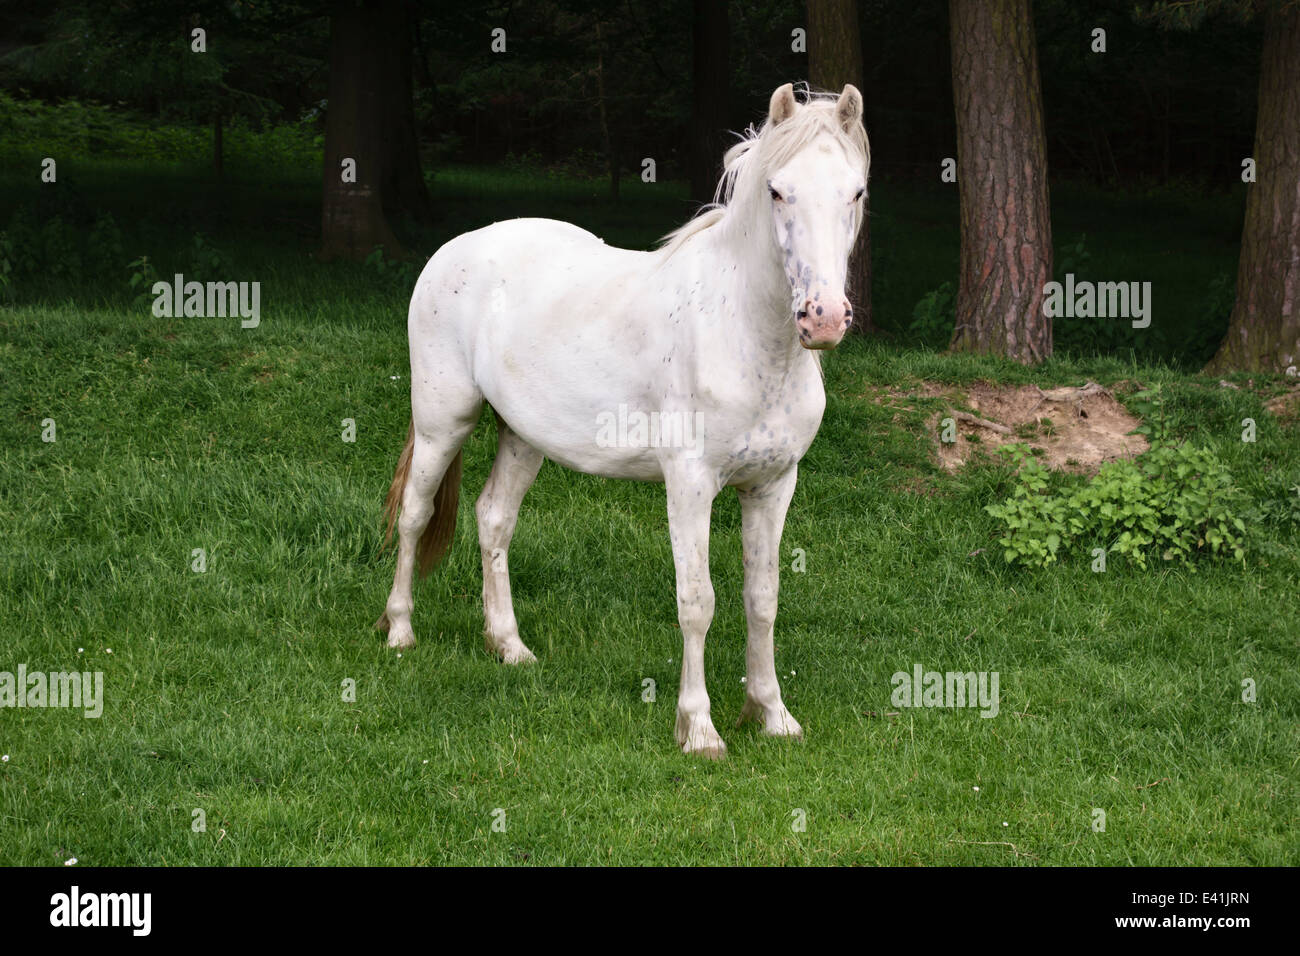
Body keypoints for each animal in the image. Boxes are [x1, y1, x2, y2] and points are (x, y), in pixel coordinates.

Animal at [377, 82, 868, 759]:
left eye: (856, 192)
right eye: (776, 190)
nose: (823, 318)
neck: (744, 334)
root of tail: (457, 248)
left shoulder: (773, 485)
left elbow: (762, 599)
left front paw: (771, 714)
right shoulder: (689, 484)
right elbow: (698, 602)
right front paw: (699, 729)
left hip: (523, 437)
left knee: (493, 518)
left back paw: (509, 646)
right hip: (441, 422)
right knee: (415, 514)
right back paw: (399, 631)